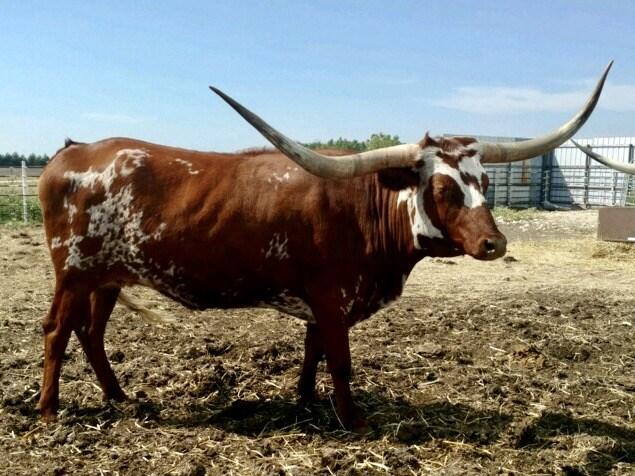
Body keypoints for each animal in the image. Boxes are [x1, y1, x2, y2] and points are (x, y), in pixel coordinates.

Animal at [37, 63, 611, 433]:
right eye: (445, 190)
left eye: (487, 184)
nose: (495, 242)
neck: (368, 209)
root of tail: (71, 152)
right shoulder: (334, 301)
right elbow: (341, 362)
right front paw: (352, 419)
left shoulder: (318, 302)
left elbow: (312, 354)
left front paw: (306, 401)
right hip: (74, 271)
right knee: (58, 331)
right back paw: (48, 409)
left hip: (108, 277)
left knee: (91, 333)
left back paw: (119, 397)